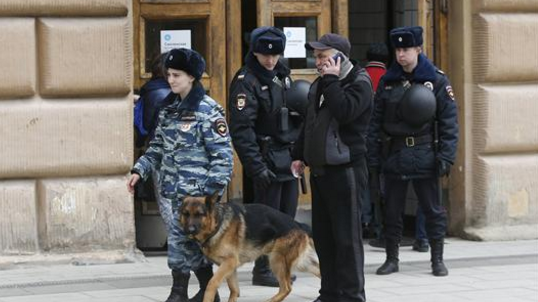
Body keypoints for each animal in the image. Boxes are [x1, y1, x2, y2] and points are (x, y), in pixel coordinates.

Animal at [180, 193, 318, 302]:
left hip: (277, 260)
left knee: (286, 288)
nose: (189, 230)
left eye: (199, 214)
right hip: (301, 263)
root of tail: (298, 224)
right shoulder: (229, 267)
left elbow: (212, 283)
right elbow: (234, 290)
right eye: (186, 214)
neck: (217, 224)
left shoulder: (229, 262)